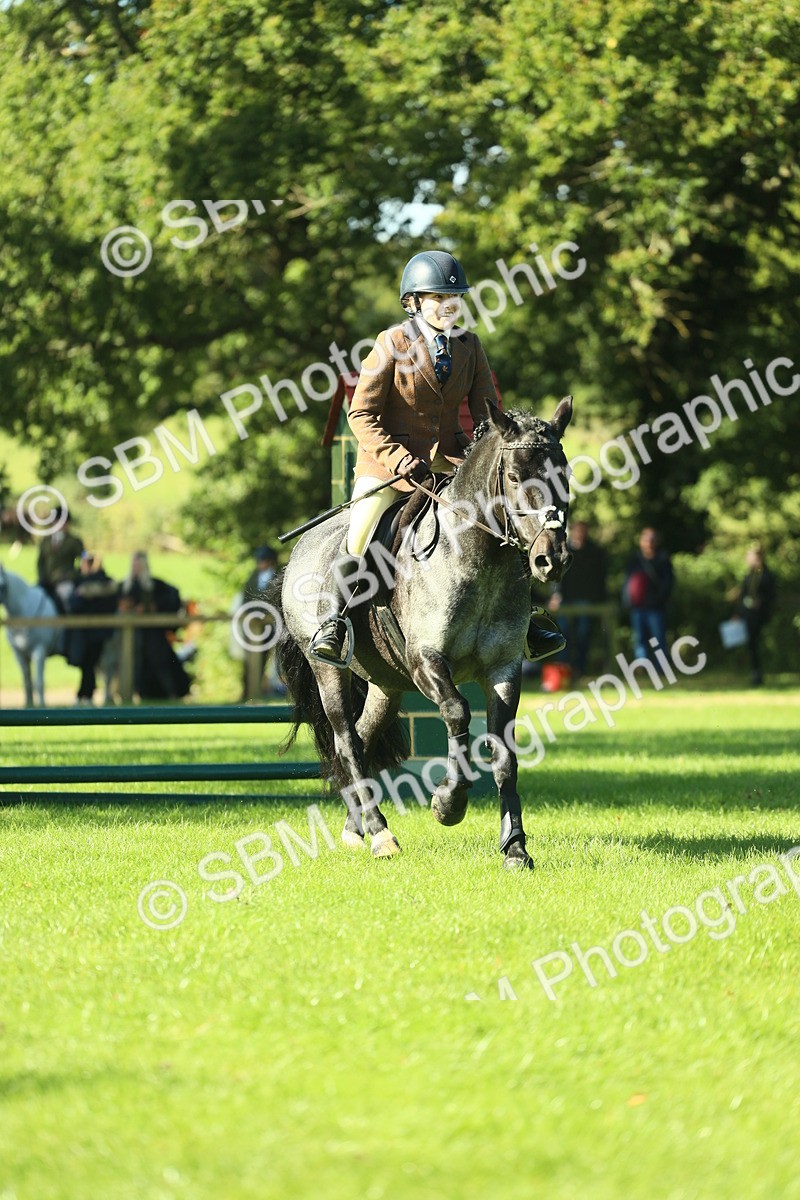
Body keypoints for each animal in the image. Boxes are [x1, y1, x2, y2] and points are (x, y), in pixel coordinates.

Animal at [0, 565, 62, 707]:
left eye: (2, 585)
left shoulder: (39, 651)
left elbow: (39, 681)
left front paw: (42, 704)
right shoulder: (19, 654)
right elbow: (27, 680)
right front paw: (28, 704)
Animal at [271, 398, 574, 871]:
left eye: (565, 473)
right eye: (513, 477)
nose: (551, 559)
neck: (480, 561)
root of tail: (299, 551)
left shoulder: (503, 669)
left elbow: (504, 756)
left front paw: (516, 848)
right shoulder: (426, 661)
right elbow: (457, 712)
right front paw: (448, 804)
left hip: (386, 684)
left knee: (362, 737)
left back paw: (355, 829)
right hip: (329, 672)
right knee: (347, 742)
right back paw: (380, 835)